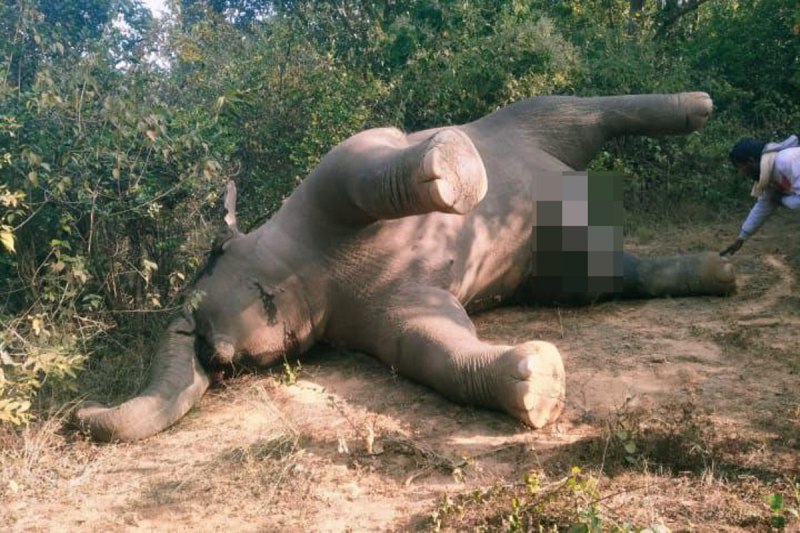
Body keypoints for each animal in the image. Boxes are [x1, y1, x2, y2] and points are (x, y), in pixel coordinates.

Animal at [76, 92, 736, 442]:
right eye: (215, 367)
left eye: (215, 258)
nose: (215, 353)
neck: (311, 271)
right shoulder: (388, 314)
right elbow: (436, 351)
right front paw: (535, 381)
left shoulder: (342, 167)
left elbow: (367, 173)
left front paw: (448, 168)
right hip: (572, 272)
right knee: (622, 273)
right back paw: (716, 274)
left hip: (537, 119)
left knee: (591, 112)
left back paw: (697, 107)